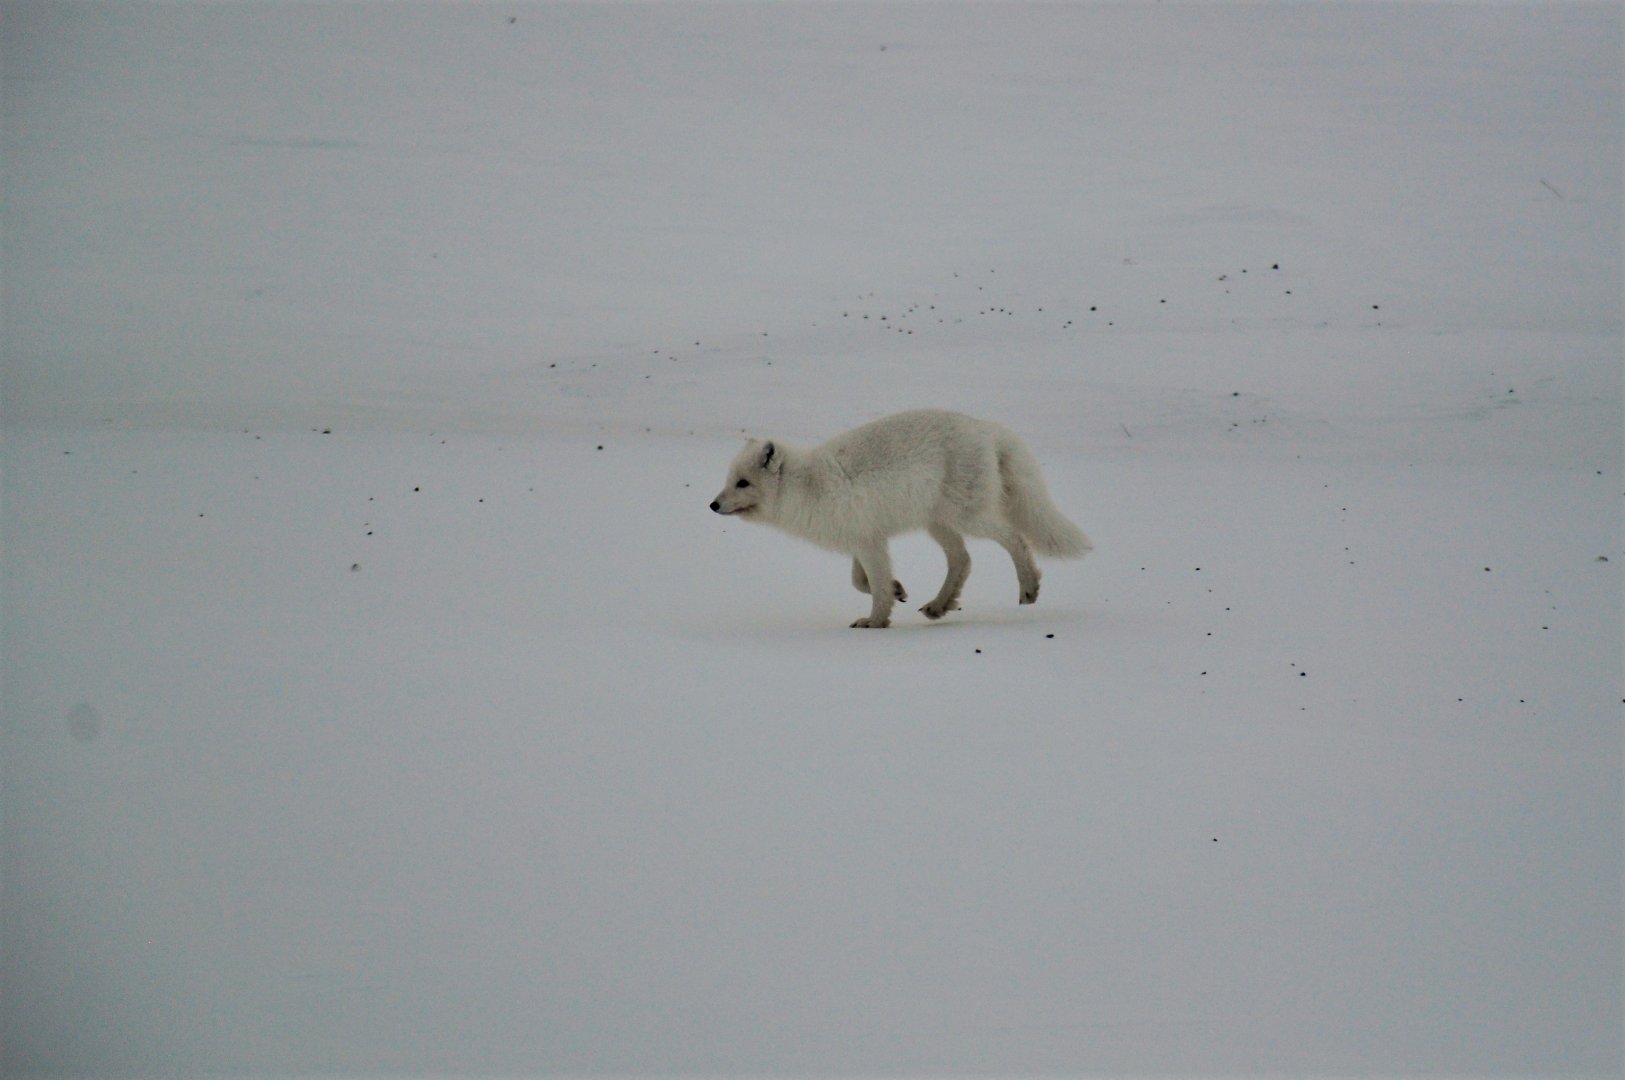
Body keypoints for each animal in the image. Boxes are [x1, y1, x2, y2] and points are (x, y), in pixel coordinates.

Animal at [710, 409, 1091, 628]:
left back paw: (1028, 588)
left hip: (965, 516)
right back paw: (939, 605)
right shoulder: (864, 539)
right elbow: (860, 581)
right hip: (937, 522)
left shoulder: (868, 542)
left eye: (742, 483)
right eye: (728, 481)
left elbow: (874, 585)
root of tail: (988, 429)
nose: (713, 505)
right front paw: (898, 590)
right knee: (962, 560)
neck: (807, 485)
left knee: (1014, 539)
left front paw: (876, 621)